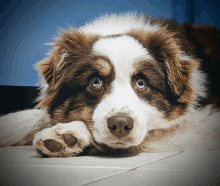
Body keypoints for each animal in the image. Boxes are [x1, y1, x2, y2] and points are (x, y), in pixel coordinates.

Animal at [0, 12, 220, 156]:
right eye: (95, 81)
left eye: (141, 83)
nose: (121, 125)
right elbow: (37, 116)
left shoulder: (203, 119)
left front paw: (68, 133)